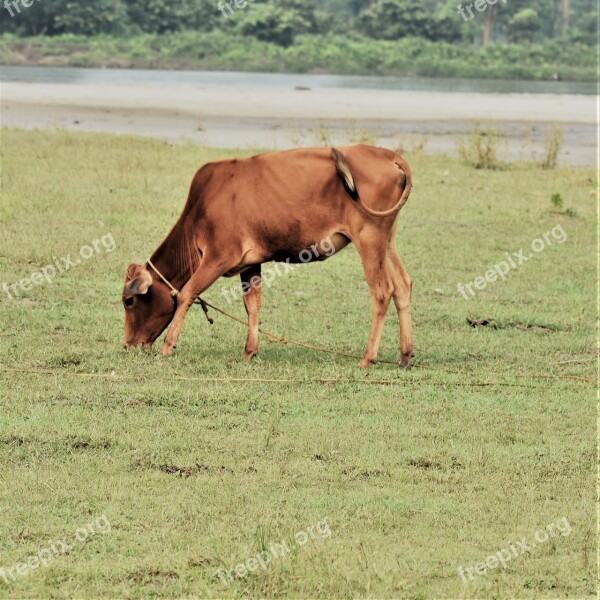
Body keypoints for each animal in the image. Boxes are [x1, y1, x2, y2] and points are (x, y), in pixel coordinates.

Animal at [122, 146, 412, 370]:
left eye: (129, 301)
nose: (128, 344)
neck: (201, 208)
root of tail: (388, 155)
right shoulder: (250, 263)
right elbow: (252, 305)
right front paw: (249, 351)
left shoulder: (218, 256)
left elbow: (187, 293)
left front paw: (168, 346)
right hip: (387, 240)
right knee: (402, 285)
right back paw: (405, 356)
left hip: (369, 237)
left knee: (382, 292)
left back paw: (367, 358)